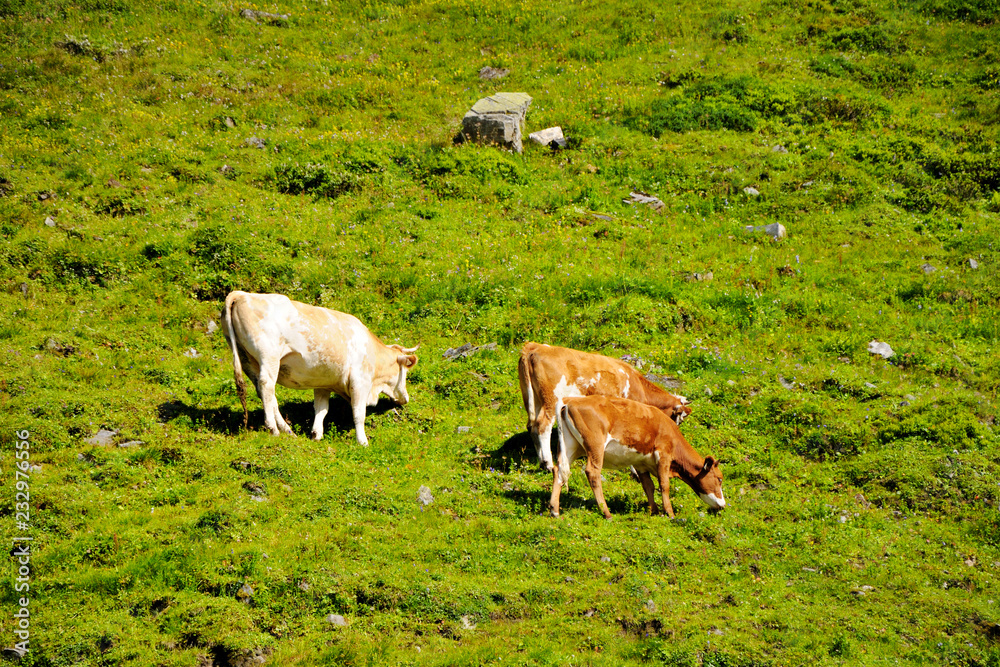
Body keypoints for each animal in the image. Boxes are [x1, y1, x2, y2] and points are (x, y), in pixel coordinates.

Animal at [221, 291, 418, 446]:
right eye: (406, 372)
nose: (406, 398)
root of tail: (242, 294)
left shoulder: (324, 384)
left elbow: (322, 409)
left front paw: (316, 434)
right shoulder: (360, 382)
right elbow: (358, 412)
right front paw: (362, 441)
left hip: (247, 359)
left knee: (267, 394)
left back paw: (287, 430)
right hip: (268, 356)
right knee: (267, 386)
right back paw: (273, 428)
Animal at [517, 342, 690, 472]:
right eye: (679, 419)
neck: (638, 385)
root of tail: (535, 347)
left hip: (534, 399)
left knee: (532, 426)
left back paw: (541, 459)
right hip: (551, 399)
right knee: (542, 425)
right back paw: (547, 463)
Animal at [551, 395, 725, 519]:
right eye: (719, 479)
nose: (723, 505)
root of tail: (570, 400)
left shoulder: (641, 463)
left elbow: (648, 486)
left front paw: (654, 511)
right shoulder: (664, 454)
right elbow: (664, 485)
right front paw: (670, 513)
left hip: (571, 446)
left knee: (558, 470)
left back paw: (554, 510)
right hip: (595, 445)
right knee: (592, 473)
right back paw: (606, 512)